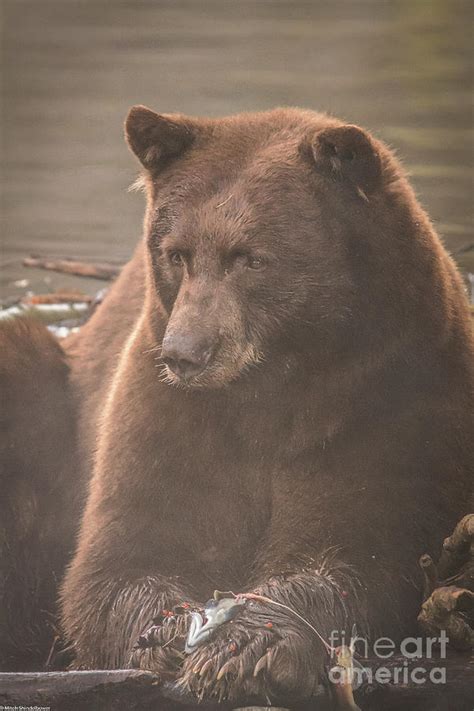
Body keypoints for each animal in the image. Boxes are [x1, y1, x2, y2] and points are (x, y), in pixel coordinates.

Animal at [60, 108, 474, 704]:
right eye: (177, 253)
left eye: (250, 258)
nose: (184, 353)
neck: (271, 392)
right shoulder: (166, 410)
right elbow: (122, 554)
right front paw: (168, 630)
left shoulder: (389, 401)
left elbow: (360, 547)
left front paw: (241, 645)